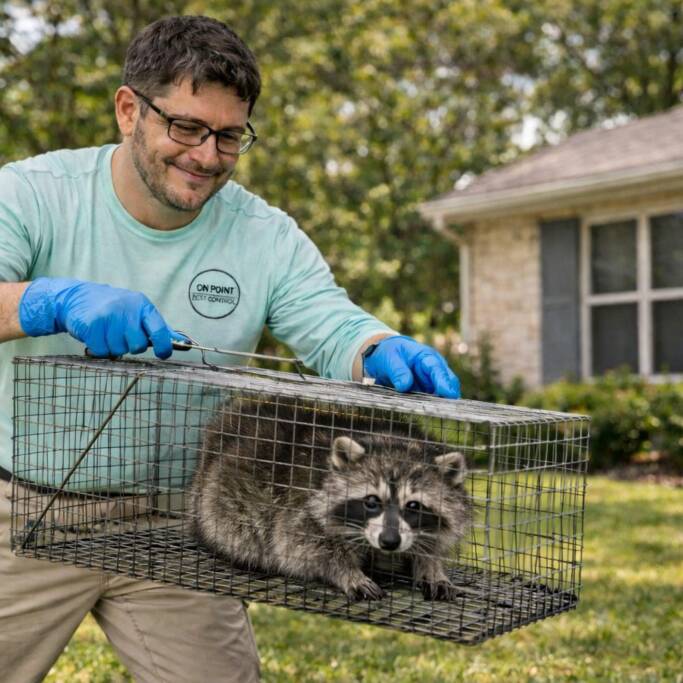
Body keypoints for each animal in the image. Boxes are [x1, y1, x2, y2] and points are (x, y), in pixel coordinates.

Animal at [190, 395, 472, 601]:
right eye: (372, 501)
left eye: (413, 505)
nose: (389, 541)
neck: (392, 441)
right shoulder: (299, 506)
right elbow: (303, 546)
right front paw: (347, 572)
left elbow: (430, 545)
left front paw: (431, 567)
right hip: (215, 505)